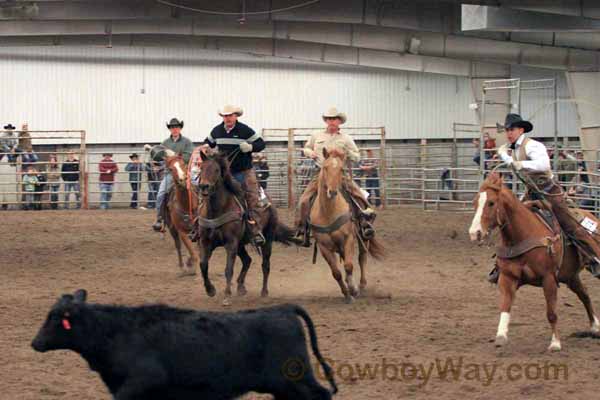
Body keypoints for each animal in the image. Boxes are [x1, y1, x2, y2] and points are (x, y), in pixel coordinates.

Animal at [162, 150, 199, 278]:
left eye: (183, 164)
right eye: (171, 169)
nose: (183, 179)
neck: (187, 205)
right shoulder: (182, 231)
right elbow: (192, 252)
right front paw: (190, 265)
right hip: (172, 228)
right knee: (178, 246)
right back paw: (182, 267)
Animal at [197, 152, 300, 304]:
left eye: (216, 170)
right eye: (201, 168)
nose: (204, 186)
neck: (217, 210)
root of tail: (269, 201)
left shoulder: (231, 243)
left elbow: (228, 269)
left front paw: (227, 295)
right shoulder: (205, 242)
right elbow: (203, 265)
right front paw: (210, 290)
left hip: (267, 239)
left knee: (265, 265)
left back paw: (264, 291)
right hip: (241, 244)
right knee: (247, 260)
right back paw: (241, 287)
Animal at [310, 148, 384, 304]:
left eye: (341, 169)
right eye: (325, 167)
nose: (332, 191)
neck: (328, 212)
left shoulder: (348, 239)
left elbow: (349, 266)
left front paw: (353, 289)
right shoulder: (323, 247)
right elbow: (336, 272)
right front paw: (346, 293)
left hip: (363, 236)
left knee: (362, 257)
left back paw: (361, 285)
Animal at [468, 172, 600, 350]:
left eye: (491, 202)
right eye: (475, 202)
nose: (474, 233)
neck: (523, 235)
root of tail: (592, 216)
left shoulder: (548, 279)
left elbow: (551, 313)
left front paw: (555, 343)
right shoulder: (507, 277)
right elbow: (505, 305)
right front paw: (501, 336)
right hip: (570, 276)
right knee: (584, 294)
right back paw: (595, 327)